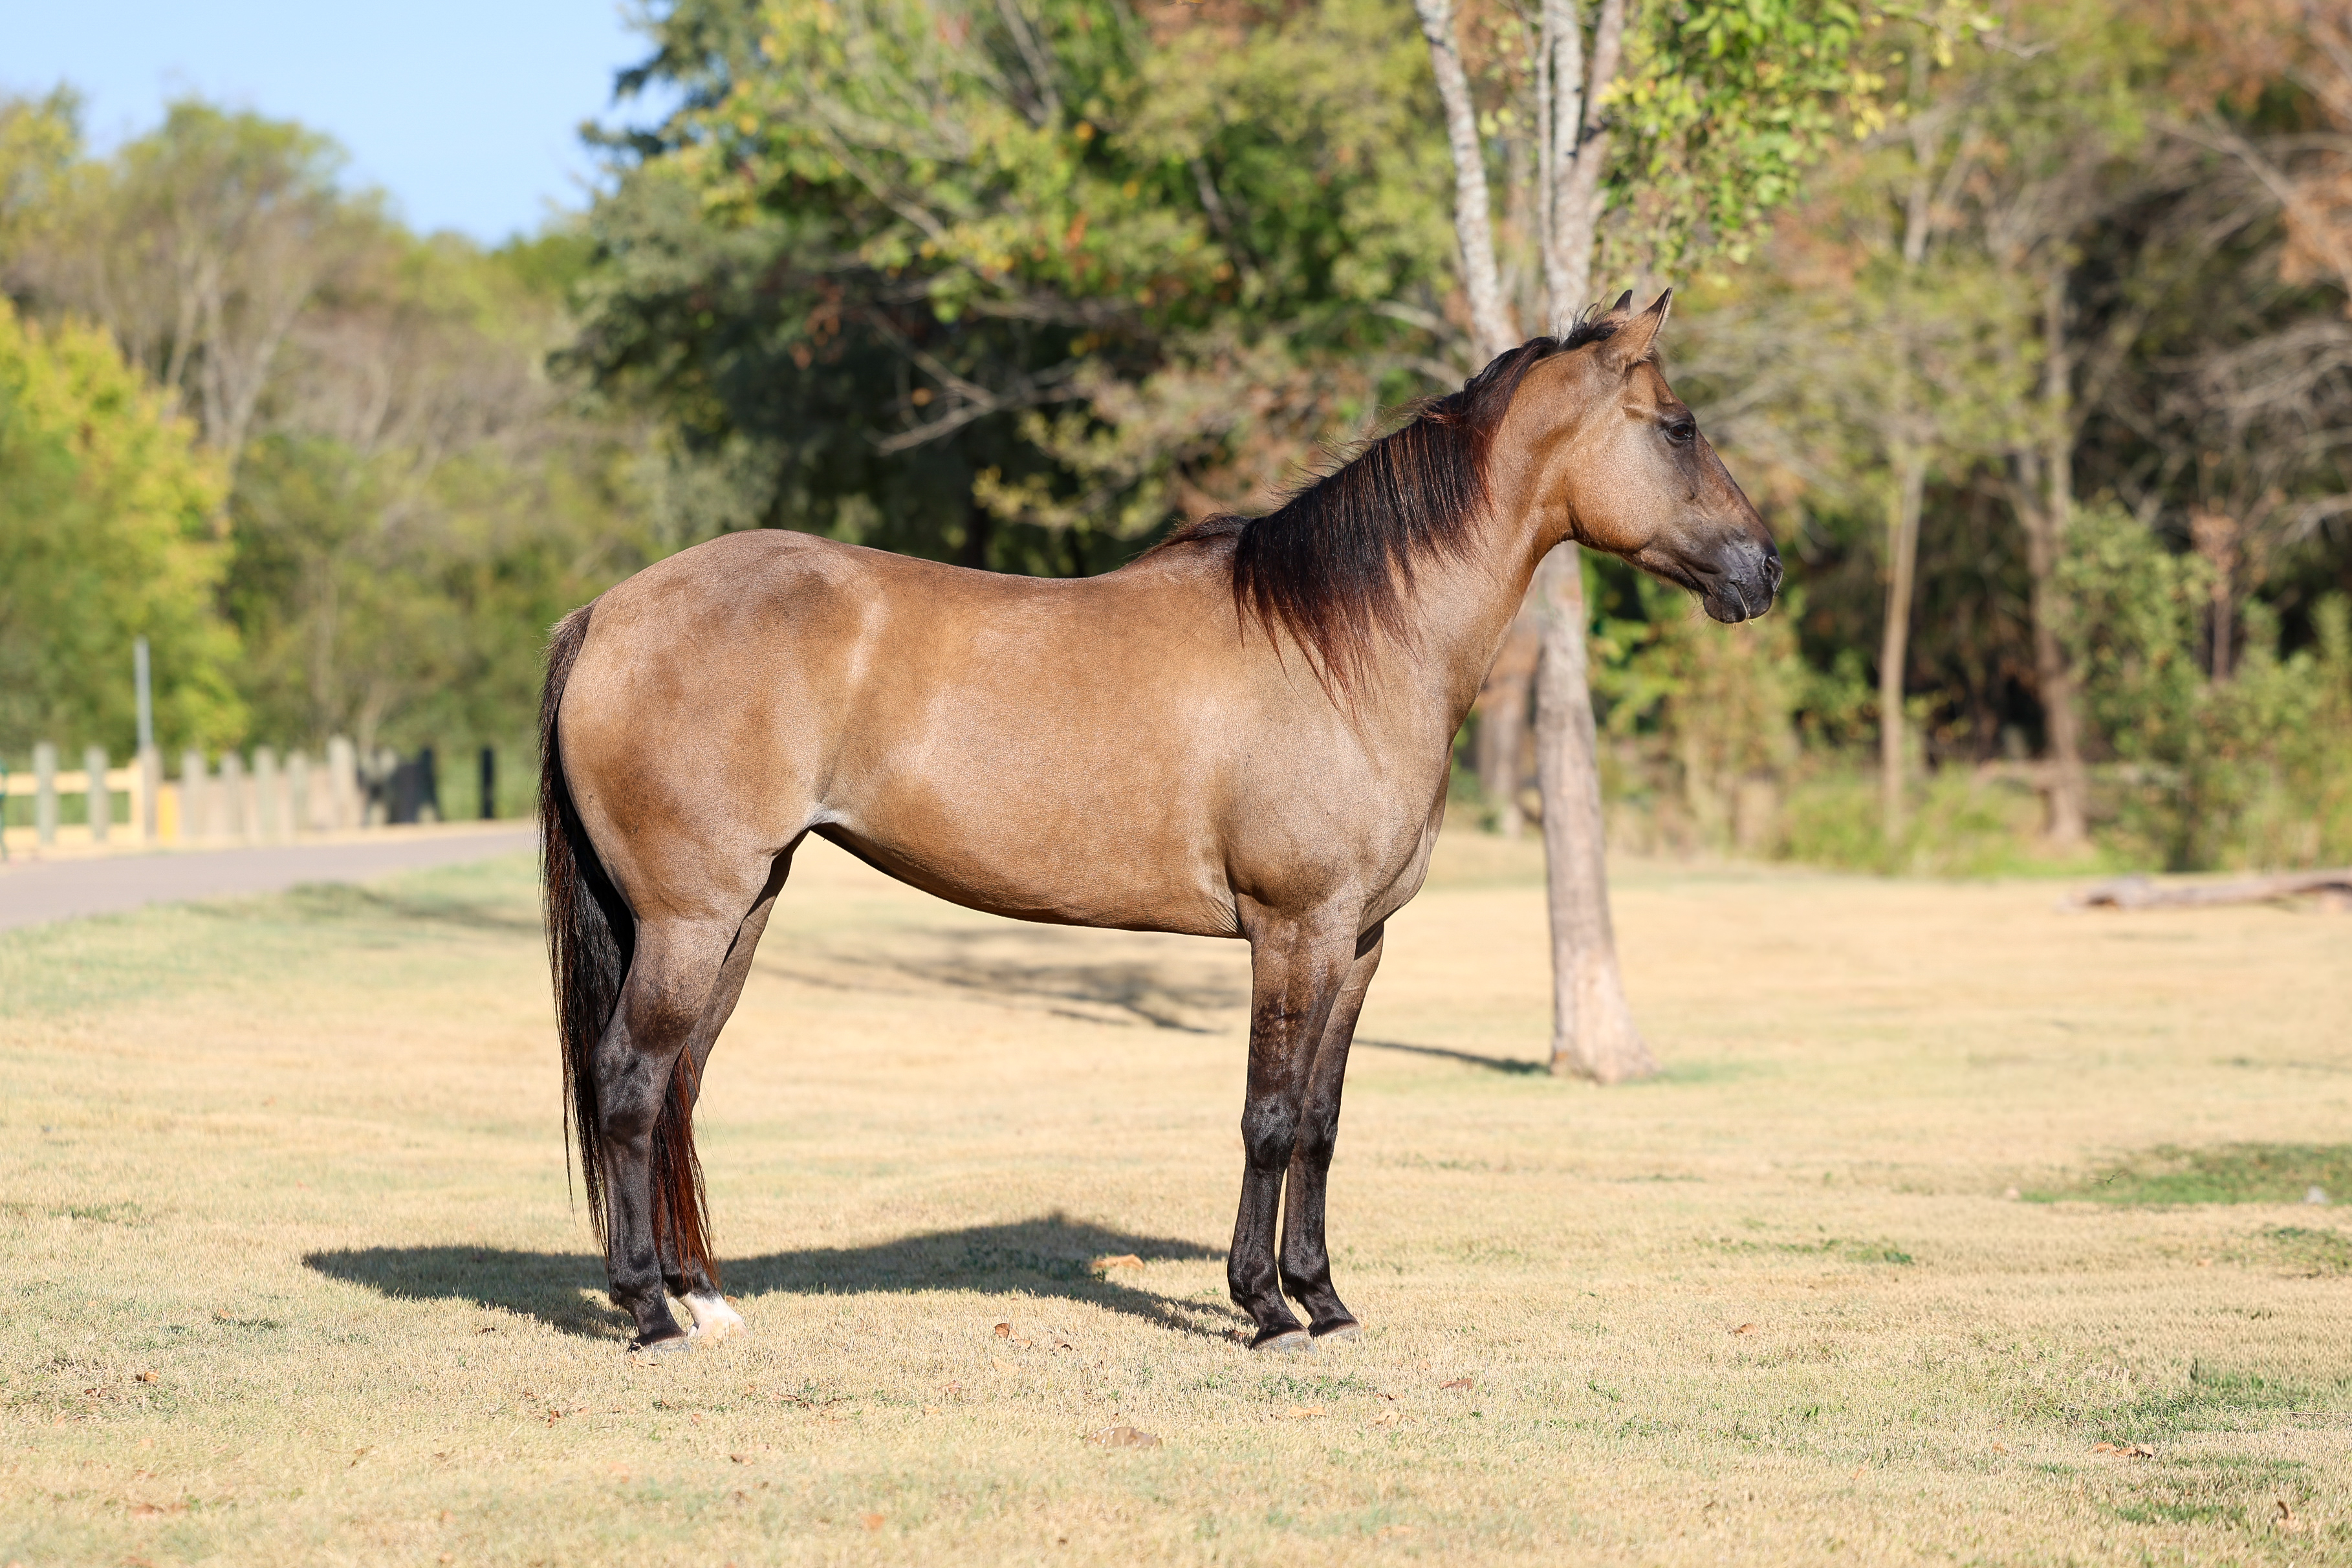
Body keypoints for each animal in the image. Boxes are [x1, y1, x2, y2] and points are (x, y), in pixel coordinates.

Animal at [539, 290, 1779, 1354]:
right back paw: (648, 1311)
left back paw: (706, 1299)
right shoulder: (1294, 928)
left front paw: (1326, 1299)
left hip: (740, 910)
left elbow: (1322, 1120)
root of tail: (606, 610)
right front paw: (1265, 1308)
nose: (1763, 570)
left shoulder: (1359, 943)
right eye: (1679, 428)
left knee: (681, 1084)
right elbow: (1268, 1114)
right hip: (691, 917)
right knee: (633, 1081)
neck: (1342, 643)